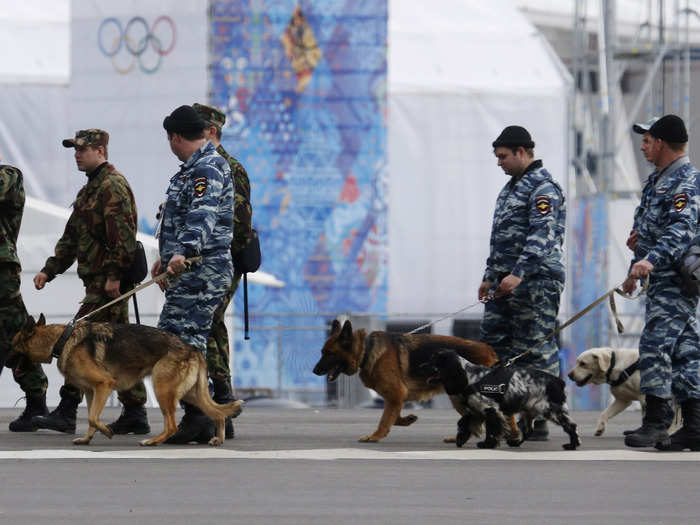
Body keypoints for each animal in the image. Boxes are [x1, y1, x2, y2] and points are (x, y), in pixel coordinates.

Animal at [9, 316, 245, 446]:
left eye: (13, 345)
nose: (5, 361)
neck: (62, 339)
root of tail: (192, 348)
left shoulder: (104, 385)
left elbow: (93, 417)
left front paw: (106, 431)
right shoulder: (92, 392)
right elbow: (91, 418)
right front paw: (87, 439)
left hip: (162, 390)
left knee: (171, 426)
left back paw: (153, 441)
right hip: (190, 394)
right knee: (218, 414)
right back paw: (218, 438)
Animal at [314, 318, 504, 440]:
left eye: (329, 354)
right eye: (322, 352)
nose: (314, 371)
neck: (367, 350)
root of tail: (489, 349)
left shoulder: (396, 395)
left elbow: (384, 419)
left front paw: (375, 436)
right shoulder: (395, 398)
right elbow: (393, 416)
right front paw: (406, 420)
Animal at [426, 350, 580, 448]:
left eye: (435, 361)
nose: (422, 366)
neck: (470, 377)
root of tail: (558, 381)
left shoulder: (491, 410)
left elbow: (492, 430)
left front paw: (487, 444)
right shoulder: (476, 411)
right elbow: (465, 423)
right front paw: (461, 438)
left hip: (552, 410)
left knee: (571, 426)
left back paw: (572, 445)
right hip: (529, 411)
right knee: (528, 430)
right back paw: (515, 443)